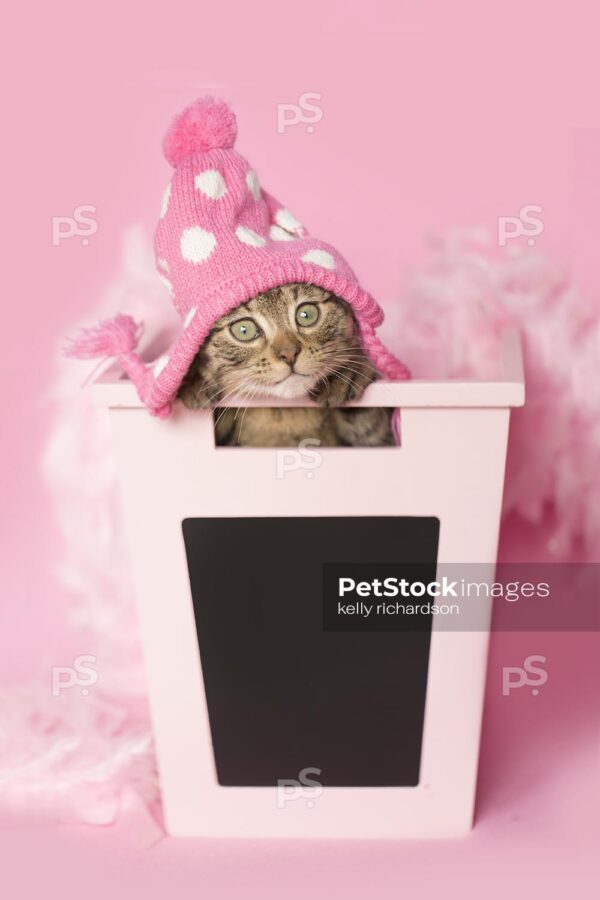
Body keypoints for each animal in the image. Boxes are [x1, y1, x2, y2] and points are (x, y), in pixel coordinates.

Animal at [178, 284, 394, 446]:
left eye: (307, 314)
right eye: (244, 329)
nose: (289, 354)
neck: (283, 414)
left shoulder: (381, 439)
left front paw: (347, 372)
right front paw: (194, 381)